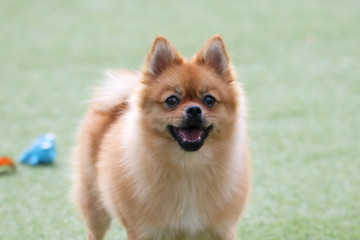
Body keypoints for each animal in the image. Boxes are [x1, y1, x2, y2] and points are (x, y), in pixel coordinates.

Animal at [70, 35, 250, 240]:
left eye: (209, 100)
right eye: (172, 100)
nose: (194, 109)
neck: (189, 166)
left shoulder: (221, 230)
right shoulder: (144, 231)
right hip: (95, 207)